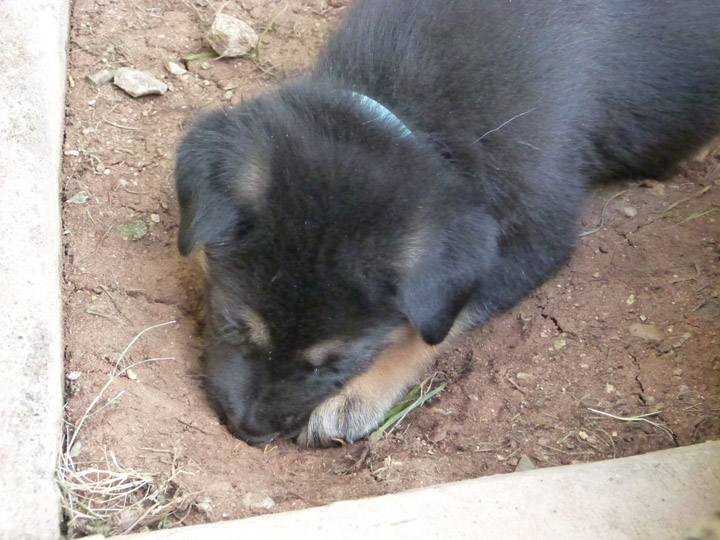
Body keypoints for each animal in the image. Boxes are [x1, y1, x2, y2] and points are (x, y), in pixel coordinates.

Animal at [176, 1, 720, 448]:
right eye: (233, 324)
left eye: (337, 364)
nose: (249, 431)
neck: (406, 110)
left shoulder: (537, 236)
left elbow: (431, 328)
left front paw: (353, 397)